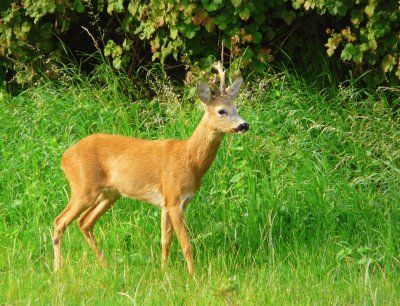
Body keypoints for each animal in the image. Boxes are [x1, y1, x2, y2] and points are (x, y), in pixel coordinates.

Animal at [52, 62, 248, 274]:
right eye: (221, 111)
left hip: (110, 194)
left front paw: (163, 271)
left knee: (84, 222)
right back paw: (58, 269)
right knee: (59, 221)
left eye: (236, 108)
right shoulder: (174, 199)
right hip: (83, 188)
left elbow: (165, 240)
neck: (189, 160)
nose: (244, 125)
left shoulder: (168, 202)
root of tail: (64, 158)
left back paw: (105, 265)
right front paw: (193, 275)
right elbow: (186, 243)